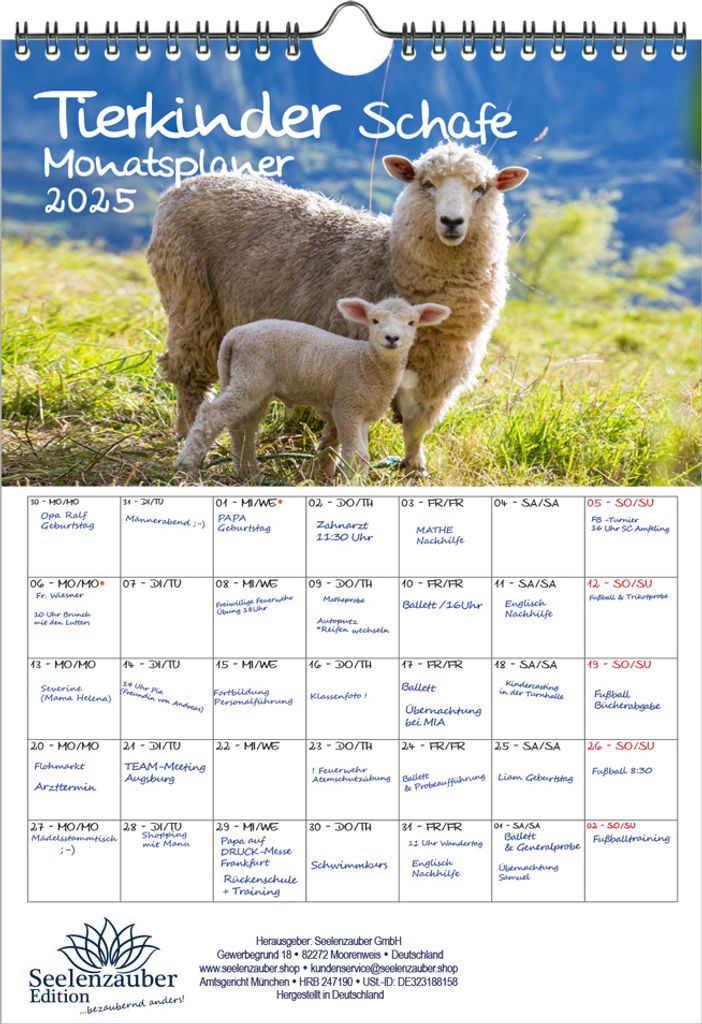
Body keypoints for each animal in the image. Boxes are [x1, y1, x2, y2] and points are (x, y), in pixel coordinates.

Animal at [174, 296, 451, 481]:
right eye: (374, 320)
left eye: (412, 322)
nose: (392, 338)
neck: (367, 363)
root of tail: (233, 336)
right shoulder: (348, 406)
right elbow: (356, 455)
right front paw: (352, 485)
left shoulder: (361, 414)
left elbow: (360, 456)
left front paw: (355, 481)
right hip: (250, 376)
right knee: (212, 414)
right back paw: (185, 466)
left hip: (250, 382)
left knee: (243, 426)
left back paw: (249, 472)